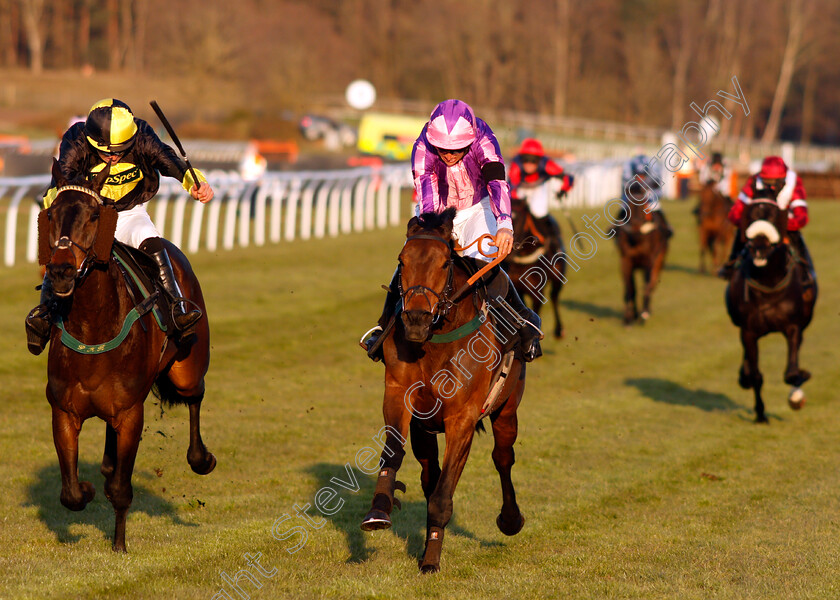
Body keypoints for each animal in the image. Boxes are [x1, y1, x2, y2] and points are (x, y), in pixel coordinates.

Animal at [39, 162, 217, 552]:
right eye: (51, 214)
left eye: (94, 215)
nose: (60, 272)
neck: (93, 327)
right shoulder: (63, 411)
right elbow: (71, 494)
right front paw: (88, 488)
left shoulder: (131, 413)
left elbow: (121, 489)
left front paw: (119, 546)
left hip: (187, 366)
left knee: (195, 393)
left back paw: (201, 458)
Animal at [360, 209, 528, 576]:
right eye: (402, 260)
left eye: (443, 263)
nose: (415, 319)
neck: (435, 343)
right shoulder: (399, 394)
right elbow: (394, 453)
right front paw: (379, 510)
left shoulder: (462, 418)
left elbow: (443, 495)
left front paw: (430, 561)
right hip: (425, 429)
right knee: (429, 474)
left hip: (508, 407)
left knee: (502, 457)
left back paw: (510, 519)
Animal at [502, 197, 568, 338]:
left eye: (520, 218)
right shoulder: (516, 290)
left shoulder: (537, 293)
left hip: (558, 278)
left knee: (554, 297)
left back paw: (559, 330)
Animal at [724, 200, 816, 422]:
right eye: (750, 214)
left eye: (775, 215)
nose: (759, 248)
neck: (768, 284)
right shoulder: (748, 331)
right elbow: (756, 375)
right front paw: (760, 414)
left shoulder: (793, 327)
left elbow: (791, 371)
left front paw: (800, 383)